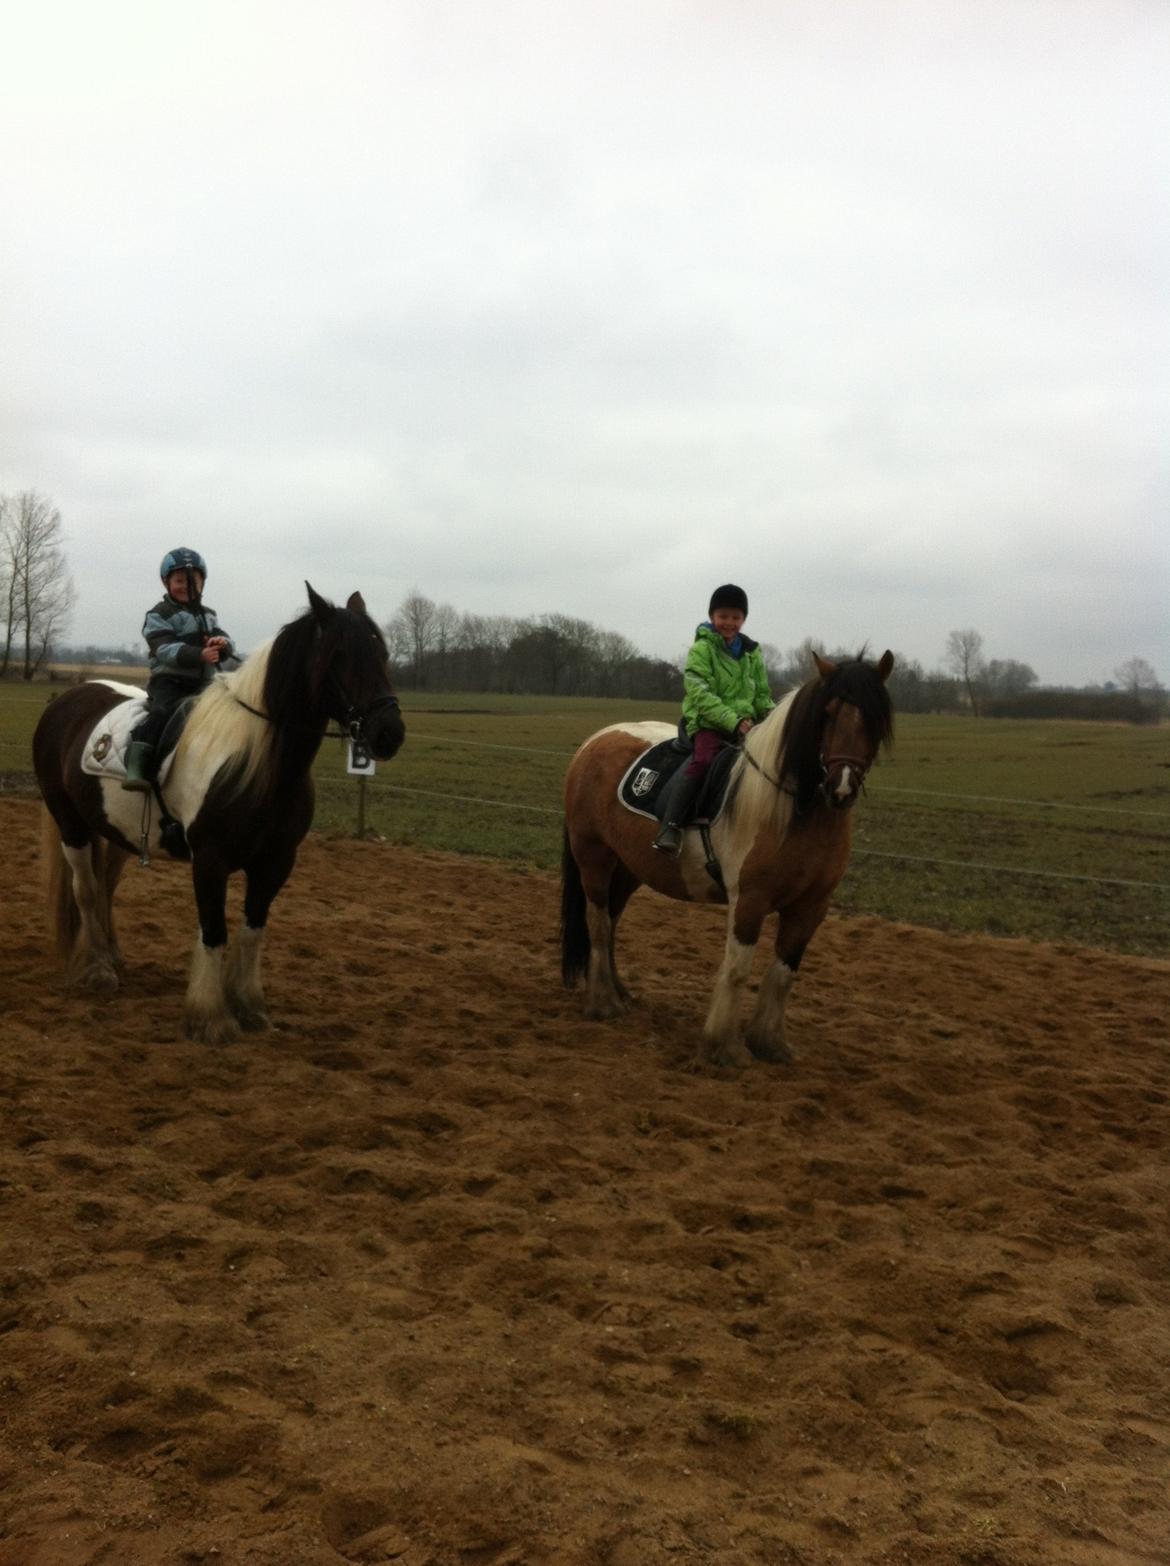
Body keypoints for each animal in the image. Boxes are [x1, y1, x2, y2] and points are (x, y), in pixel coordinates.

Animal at [33, 582, 407, 1046]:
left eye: (382, 652)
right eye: (339, 655)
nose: (388, 733)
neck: (260, 764)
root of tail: (67, 698)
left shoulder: (275, 863)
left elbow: (252, 931)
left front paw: (250, 1006)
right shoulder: (210, 861)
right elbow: (214, 931)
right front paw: (211, 1018)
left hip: (115, 831)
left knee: (104, 888)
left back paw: (111, 954)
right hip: (70, 823)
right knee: (85, 890)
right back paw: (98, 968)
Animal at [563, 654, 889, 1071]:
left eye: (876, 717)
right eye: (827, 713)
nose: (841, 787)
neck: (791, 810)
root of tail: (594, 741)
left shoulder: (811, 908)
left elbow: (783, 973)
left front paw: (769, 1043)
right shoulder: (750, 900)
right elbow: (737, 970)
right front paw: (724, 1047)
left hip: (628, 867)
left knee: (612, 919)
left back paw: (618, 991)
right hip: (594, 857)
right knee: (598, 922)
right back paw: (603, 1003)